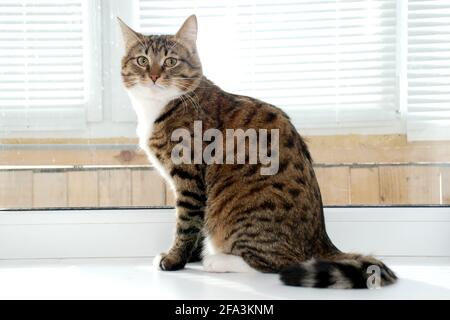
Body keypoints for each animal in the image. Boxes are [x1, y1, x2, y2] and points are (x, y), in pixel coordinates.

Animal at [118, 15, 396, 290]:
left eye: (170, 61)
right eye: (142, 60)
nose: (154, 76)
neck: (158, 107)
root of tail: (321, 239)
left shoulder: (189, 178)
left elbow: (186, 224)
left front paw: (175, 259)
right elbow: (196, 227)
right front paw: (191, 256)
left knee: (279, 263)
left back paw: (218, 260)